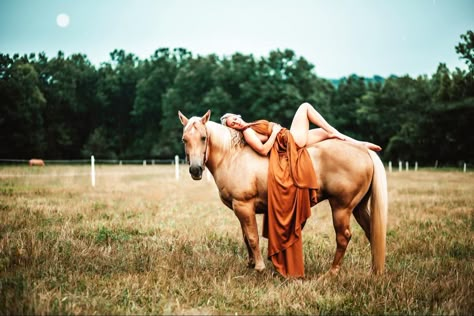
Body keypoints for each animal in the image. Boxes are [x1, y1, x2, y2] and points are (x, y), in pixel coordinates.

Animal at [180, 109, 386, 276]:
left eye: (203, 138)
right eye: (185, 139)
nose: (195, 170)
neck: (232, 156)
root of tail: (364, 152)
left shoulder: (243, 206)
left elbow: (253, 237)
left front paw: (259, 267)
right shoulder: (239, 208)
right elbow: (246, 237)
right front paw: (251, 264)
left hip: (341, 208)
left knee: (343, 237)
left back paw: (332, 273)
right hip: (359, 207)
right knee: (371, 233)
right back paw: (373, 271)